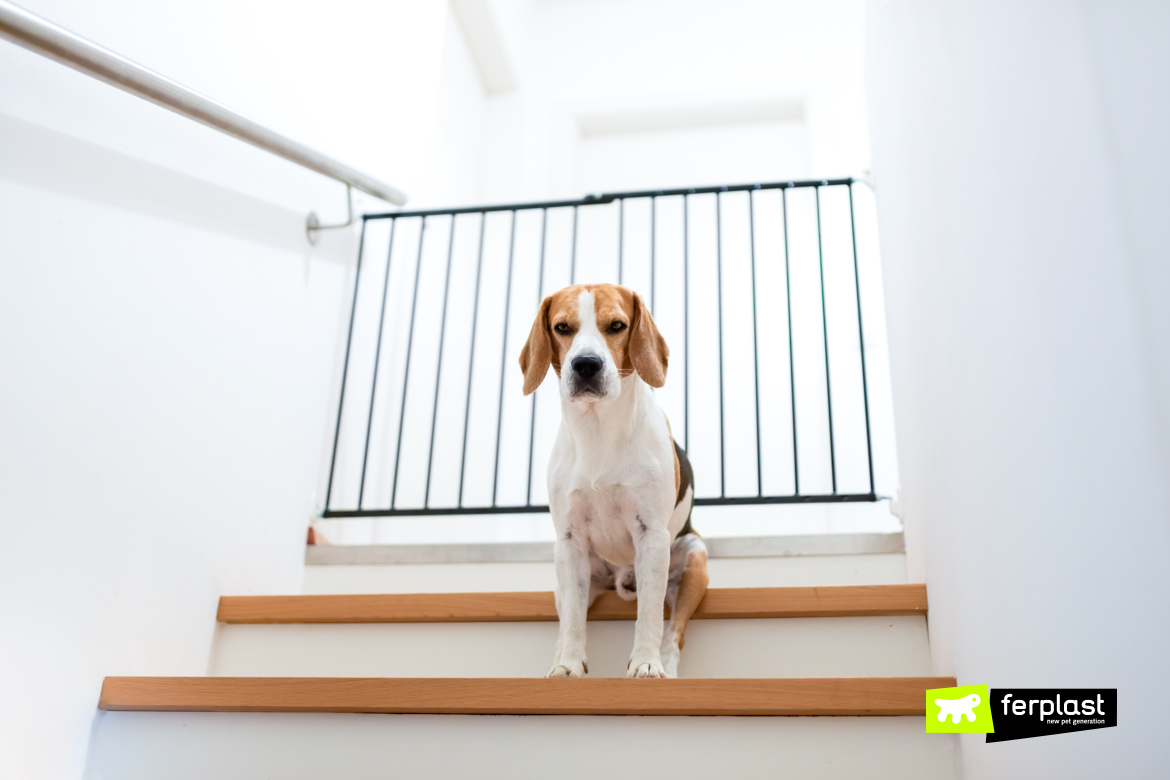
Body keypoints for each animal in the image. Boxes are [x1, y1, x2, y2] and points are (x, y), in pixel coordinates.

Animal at [524, 284, 706, 678]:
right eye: (562, 328)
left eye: (617, 325)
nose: (586, 364)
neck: (597, 429)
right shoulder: (569, 540)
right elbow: (573, 622)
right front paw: (568, 667)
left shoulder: (651, 536)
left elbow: (649, 615)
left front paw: (646, 664)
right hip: (567, 576)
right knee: (566, 621)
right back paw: (555, 664)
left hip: (695, 560)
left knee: (675, 631)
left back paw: (667, 669)